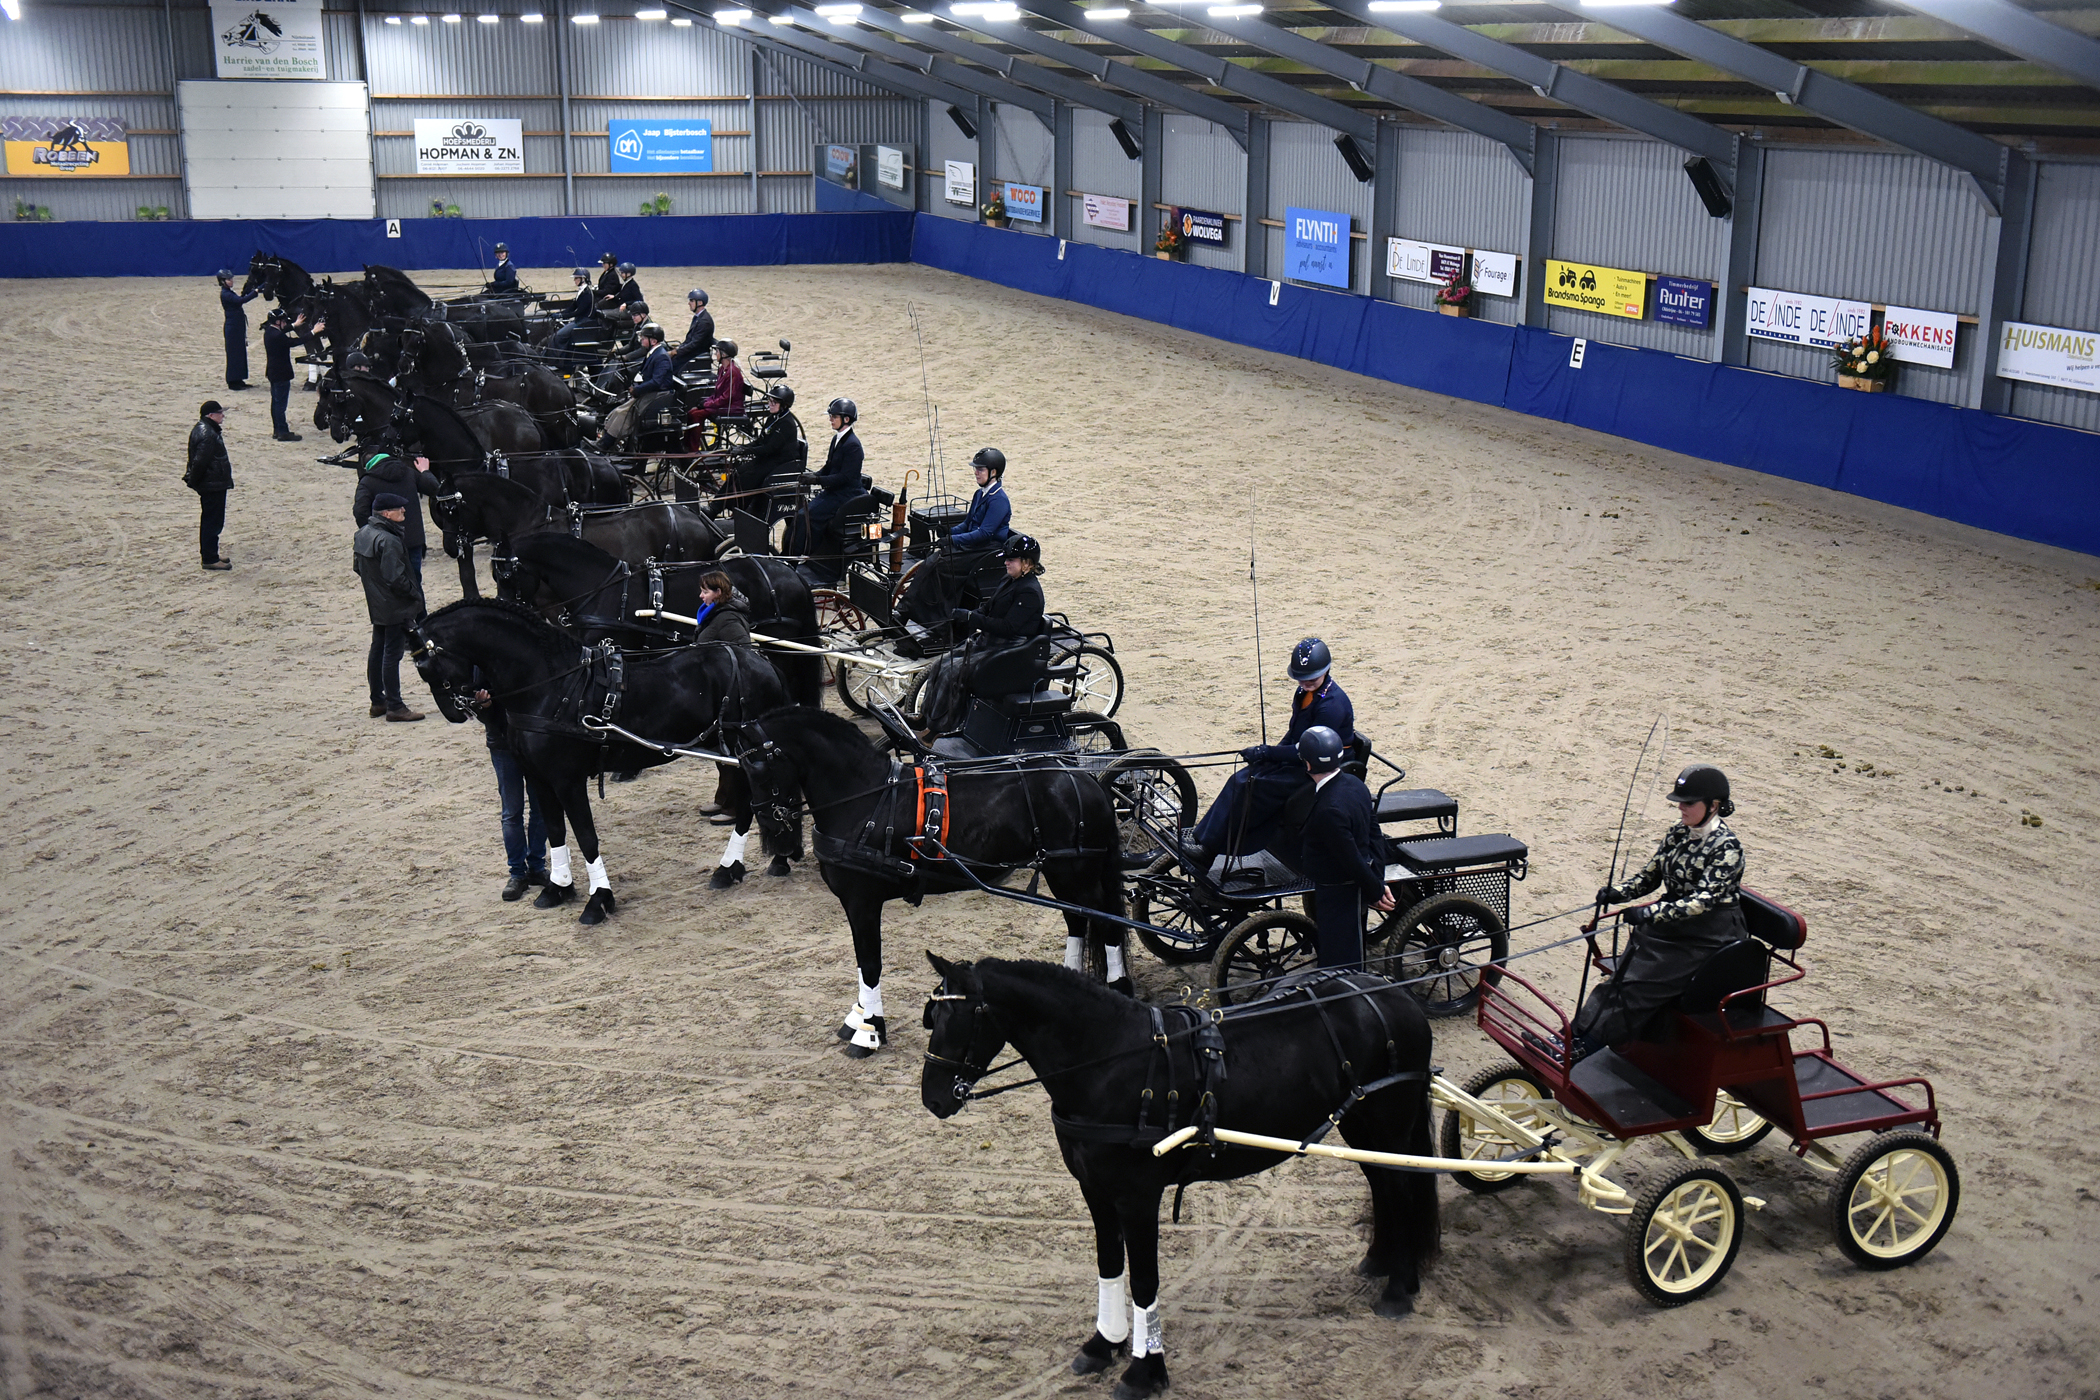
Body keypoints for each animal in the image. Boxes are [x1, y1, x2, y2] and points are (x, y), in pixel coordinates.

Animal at [405, 596, 789, 923]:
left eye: (425, 665)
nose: (455, 711)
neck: (552, 687)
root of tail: (761, 661)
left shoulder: (568, 781)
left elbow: (587, 836)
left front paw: (598, 900)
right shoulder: (538, 777)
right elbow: (556, 832)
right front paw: (557, 888)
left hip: (747, 754)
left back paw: (756, 863)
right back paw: (733, 868)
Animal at [739, 705, 1134, 1057]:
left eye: (758, 766)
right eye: (741, 766)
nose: (771, 827)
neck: (867, 799)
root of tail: (1087, 780)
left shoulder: (863, 901)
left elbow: (871, 963)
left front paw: (869, 1032)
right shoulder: (854, 904)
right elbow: (861, 962)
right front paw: (859, 1018)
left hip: (1076, 874)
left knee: (1107, 924)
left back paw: (1119, 988)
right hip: (1062, 873)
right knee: (1077, 921)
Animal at [923, 957, 1444, 1393]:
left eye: (960, 1018)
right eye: (933, 1016)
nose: (933, 1098)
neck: (1112, 1059)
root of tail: (1394, 993)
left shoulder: (1137, 1196)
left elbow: (1144, 1280)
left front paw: (1144, 1371)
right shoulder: (1094, 1189)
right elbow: (1109, 1265)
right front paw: (1103, 1344)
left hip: (1388, 1120)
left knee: (1400, 1188)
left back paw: (1399, 1289)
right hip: (1360, 1122)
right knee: (1380, 1183)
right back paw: (1378, 1261)